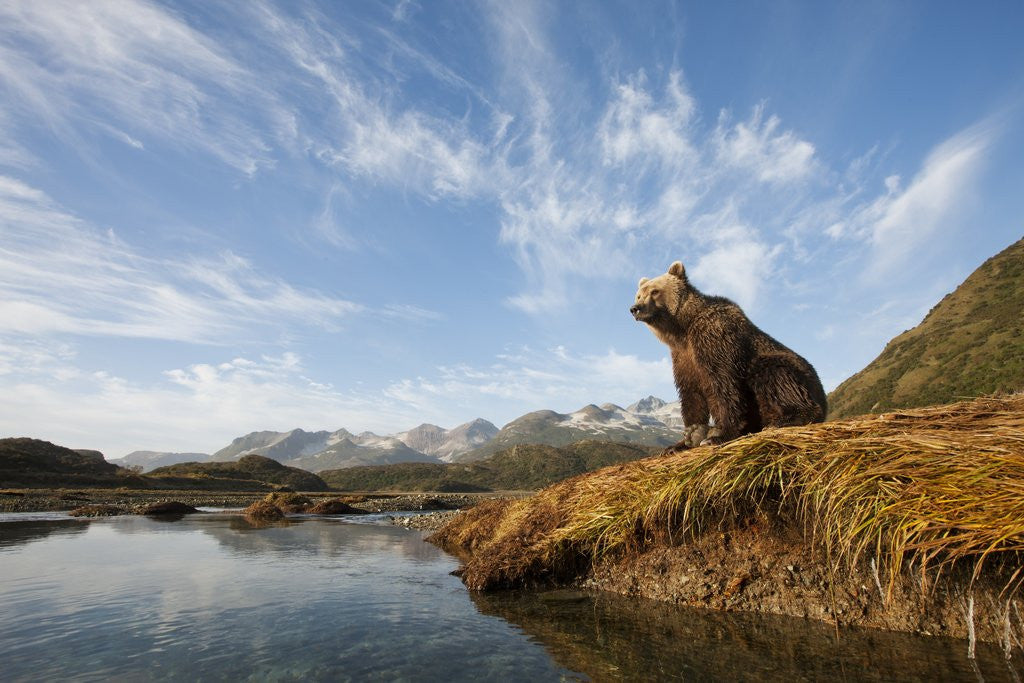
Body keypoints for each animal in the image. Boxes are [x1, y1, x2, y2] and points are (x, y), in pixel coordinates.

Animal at [631, 261, 827, 451]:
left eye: (654, 291)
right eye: (639, 295)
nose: (635, 308)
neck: (682, 329)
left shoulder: (715, 339)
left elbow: (724, 384)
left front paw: (719, 435)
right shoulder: (682, 357)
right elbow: (691, 393)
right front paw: (683, 440)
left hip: (792, 372)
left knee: (774, 373)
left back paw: (786, 419)